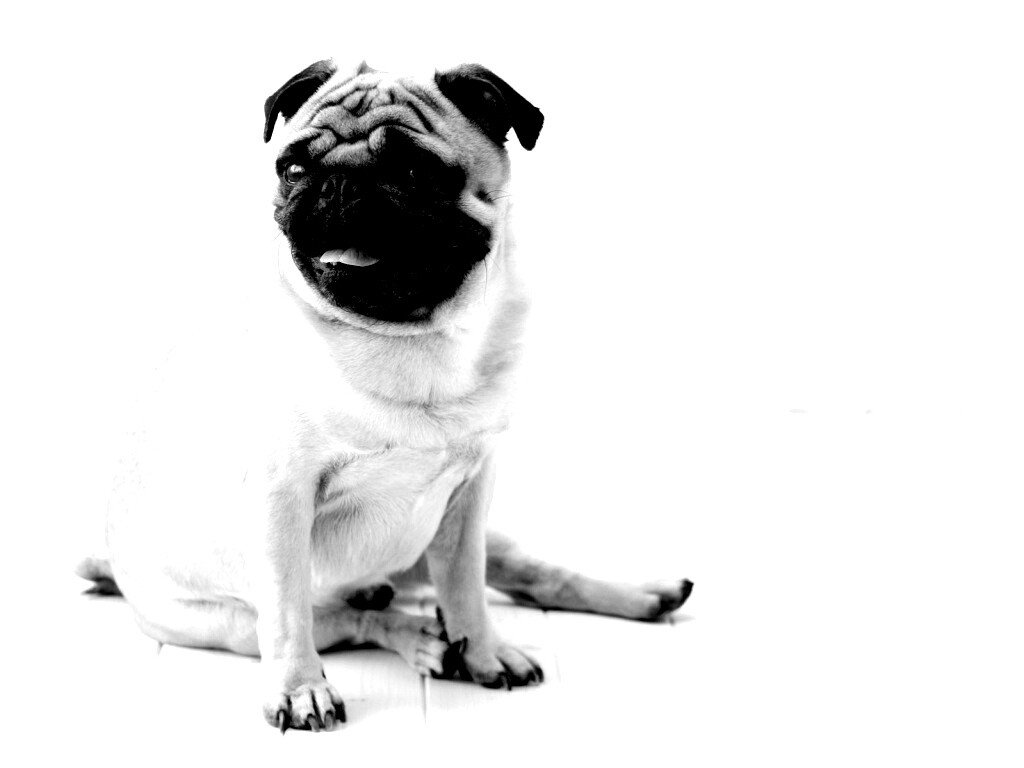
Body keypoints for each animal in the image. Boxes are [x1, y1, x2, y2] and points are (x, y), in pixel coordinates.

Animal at [77, 60, 693, 732]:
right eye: (292, 169)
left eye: (414, 172)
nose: (338, 185)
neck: (409, 341)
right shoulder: (279, 497)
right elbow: (289, 615)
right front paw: (299, 689)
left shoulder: (472, 495)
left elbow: (466, 586)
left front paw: (485, 651)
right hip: (226, 621)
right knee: (346, 618)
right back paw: (417, 638)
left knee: (529, 575)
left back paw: (642, 595)